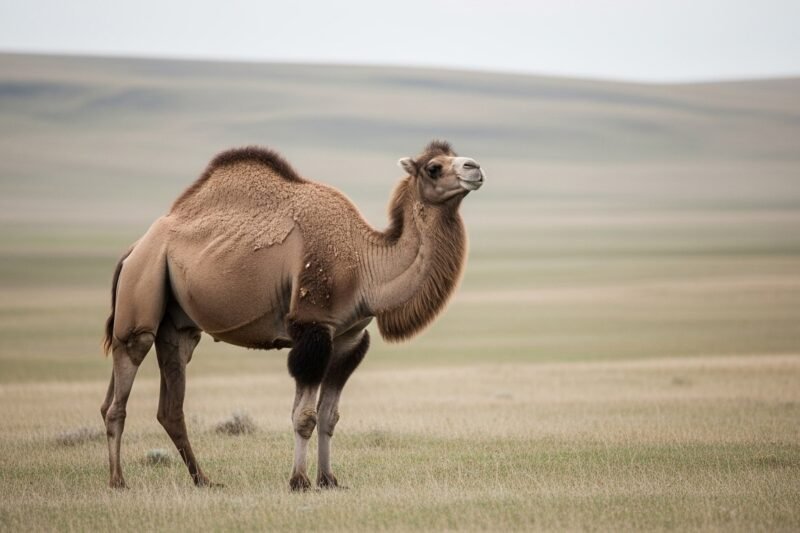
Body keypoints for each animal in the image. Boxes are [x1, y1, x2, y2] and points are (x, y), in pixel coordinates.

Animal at [100, 140, 485, 490]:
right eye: (434, 167)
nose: (475, 167)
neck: (364, 265)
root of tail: (132, 250)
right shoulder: (312, 328)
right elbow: (304, 417)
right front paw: (299, 481)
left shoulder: (348, 337)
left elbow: (329, 416)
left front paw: (329, 480)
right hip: (141, 297)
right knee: (122, 385)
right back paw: (118, 481)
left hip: (178, 325)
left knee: (168, 405)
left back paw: (203, 480)